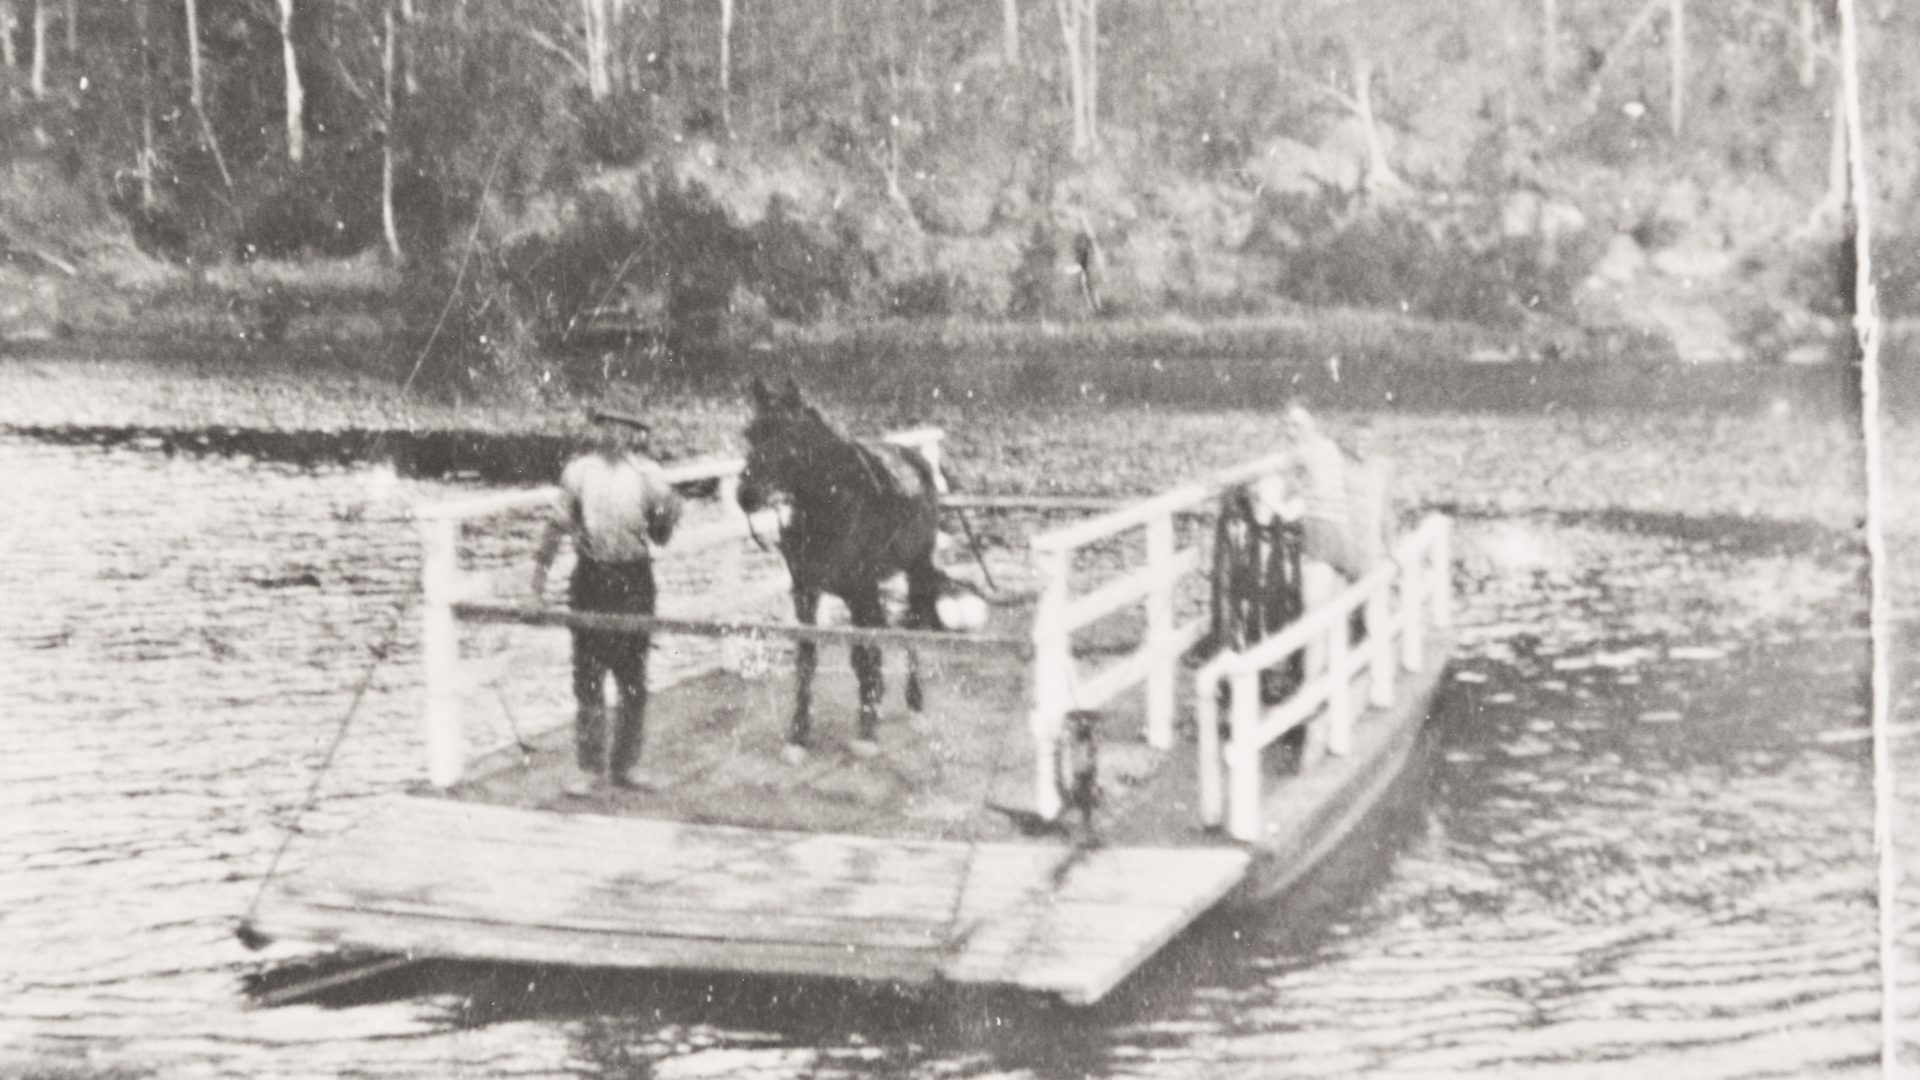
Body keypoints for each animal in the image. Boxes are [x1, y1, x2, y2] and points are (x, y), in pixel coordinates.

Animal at [733, 376, 944, 757]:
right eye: (751, 433)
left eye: (790, 435)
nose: (746, 495)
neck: (830, 504)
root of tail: (913, 456)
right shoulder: (806, 590)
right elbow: (807, 658)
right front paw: (798, 735)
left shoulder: (859, 590)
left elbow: (863, 654)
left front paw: (866, 732)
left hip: (916, 568)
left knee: (909, 628)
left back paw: (915, 706)